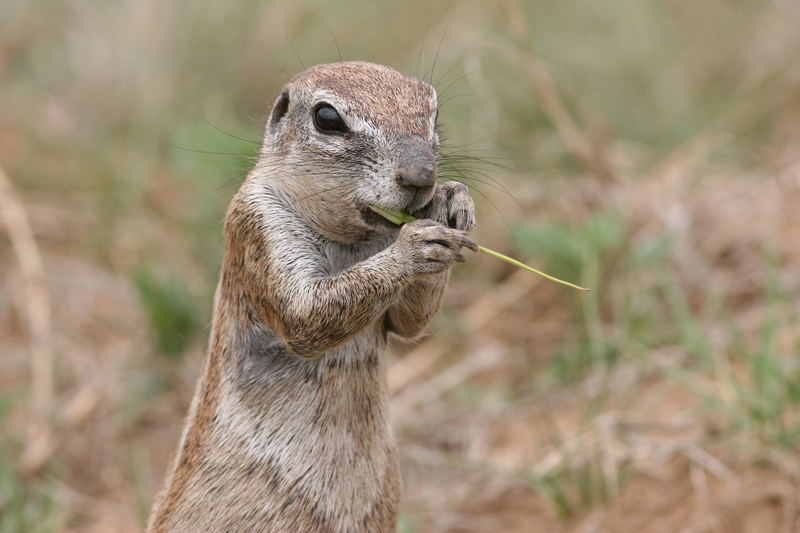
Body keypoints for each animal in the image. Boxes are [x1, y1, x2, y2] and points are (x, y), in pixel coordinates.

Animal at [146, 61, 476, 532]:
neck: (352, 239)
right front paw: (416, 243)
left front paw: (453, 200)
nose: (422, 177)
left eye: (433, 111)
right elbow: (305, 315)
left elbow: (409, 324)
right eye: (327, 118)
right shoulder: (259, 226)